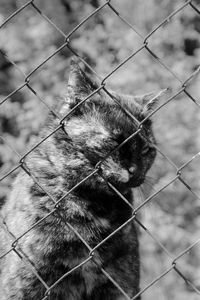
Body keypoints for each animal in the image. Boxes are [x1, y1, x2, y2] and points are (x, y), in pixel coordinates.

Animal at [0, 59, 166, 298]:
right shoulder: (23, 283)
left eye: (146, 150)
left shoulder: (122, 281)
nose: (135, 171)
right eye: (114, 140)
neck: (92, 207)